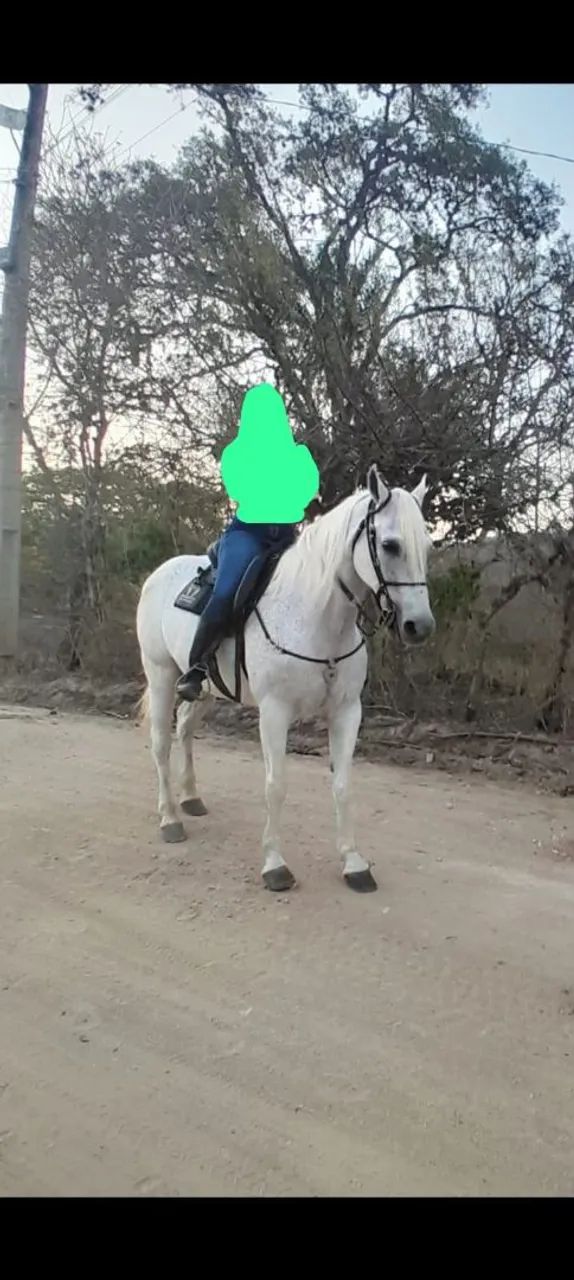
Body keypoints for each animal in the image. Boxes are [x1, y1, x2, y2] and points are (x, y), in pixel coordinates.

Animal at [136, 464, 435, 894]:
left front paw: (354, 863)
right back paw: (170, 819)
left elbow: (343, 786)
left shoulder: (347, 712)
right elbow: (276, 786)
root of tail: (158, 574)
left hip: (204, 690)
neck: (315, 615)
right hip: (160, 675)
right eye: (391, 545)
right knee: (161, 743)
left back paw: (190, 798)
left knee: (185, 731)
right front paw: (275, 865)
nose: (419, 626)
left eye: (427, 548)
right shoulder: (275, 712)